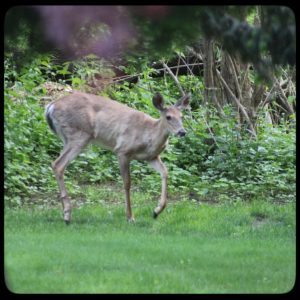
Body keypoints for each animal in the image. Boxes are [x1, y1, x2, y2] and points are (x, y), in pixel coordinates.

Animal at [45, 91, 190, 223]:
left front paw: (156, 211)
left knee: (56, 164)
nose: (182, 132)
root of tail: (50, 107)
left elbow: (165, 172)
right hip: (79, 134)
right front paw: (130, 217)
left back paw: (64, 212)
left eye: (182, 116)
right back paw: (67, 215)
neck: (149, 134)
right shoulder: (122, 151)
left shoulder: (151, 157)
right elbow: (127, 183)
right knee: (58, 164)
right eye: (168, 117)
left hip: (67, 138)